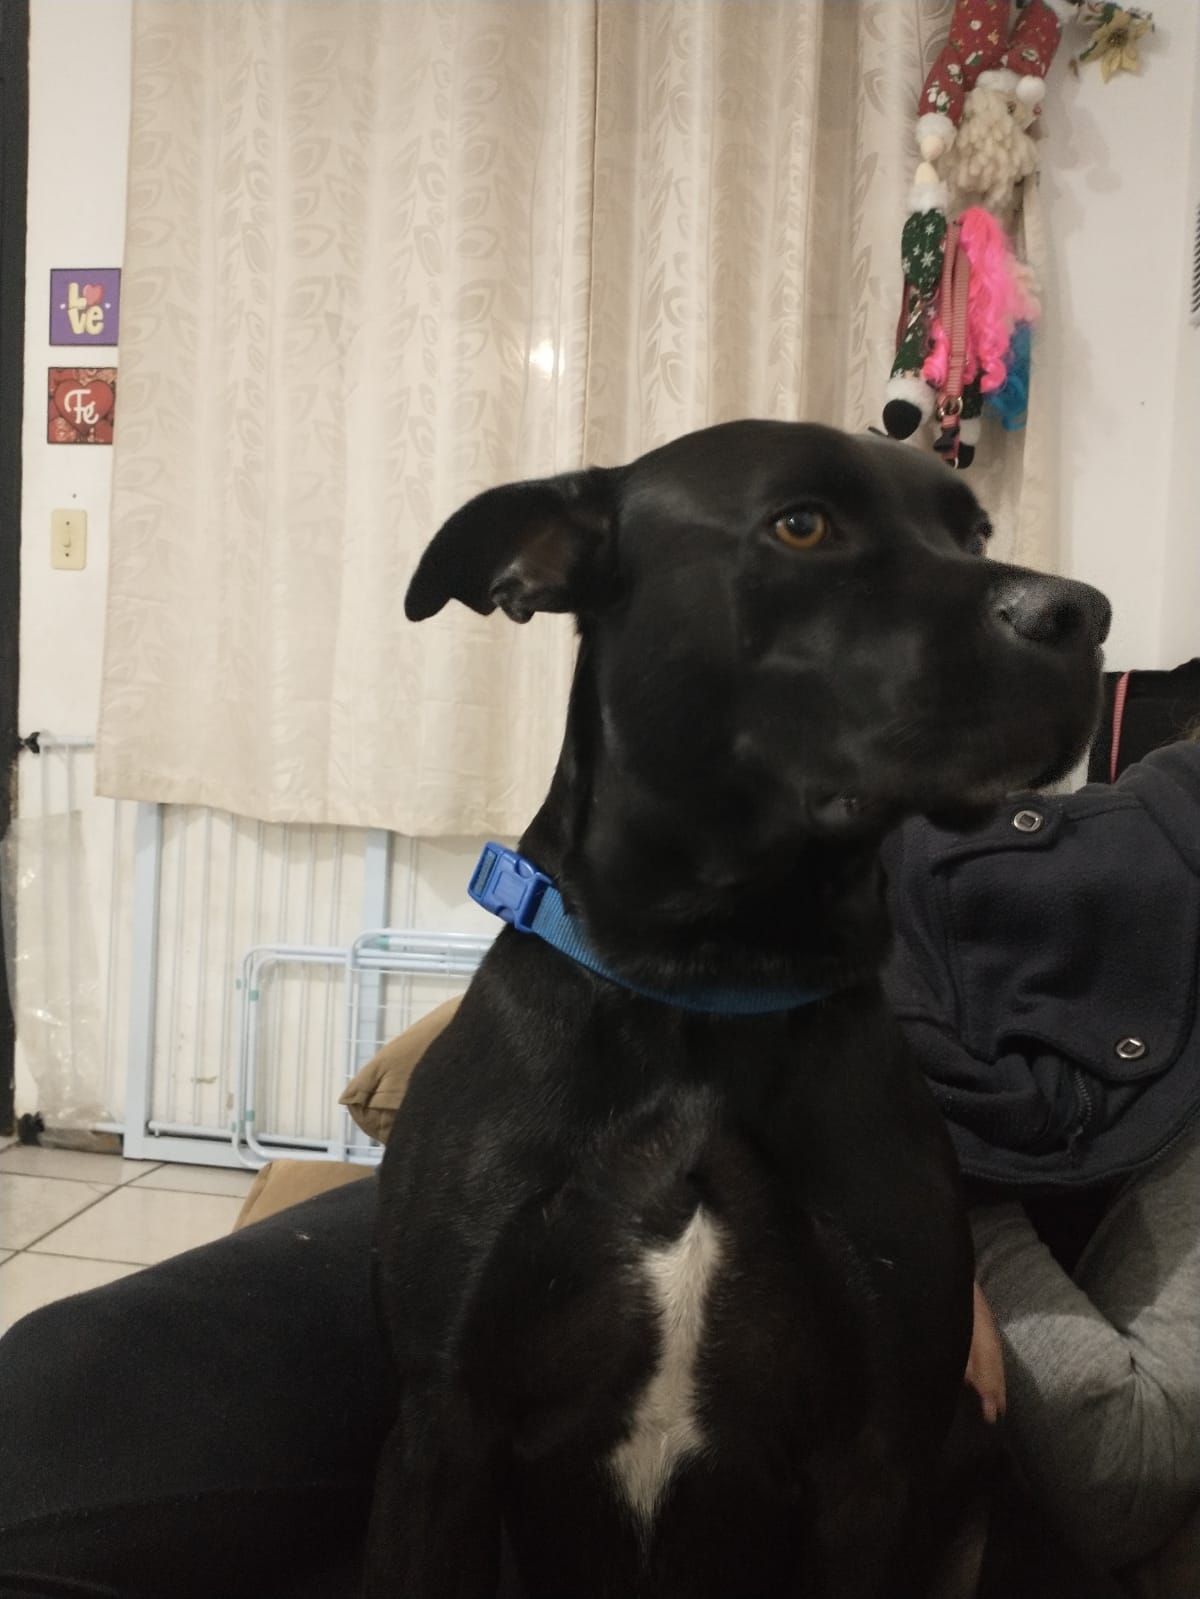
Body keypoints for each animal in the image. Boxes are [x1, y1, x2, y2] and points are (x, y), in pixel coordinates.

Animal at [364, 421, 1110, 1599]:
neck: (707, 986)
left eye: (975, 532)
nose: (1082, 614)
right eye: (802, 524)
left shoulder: (875, 1463)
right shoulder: (444, 1429)